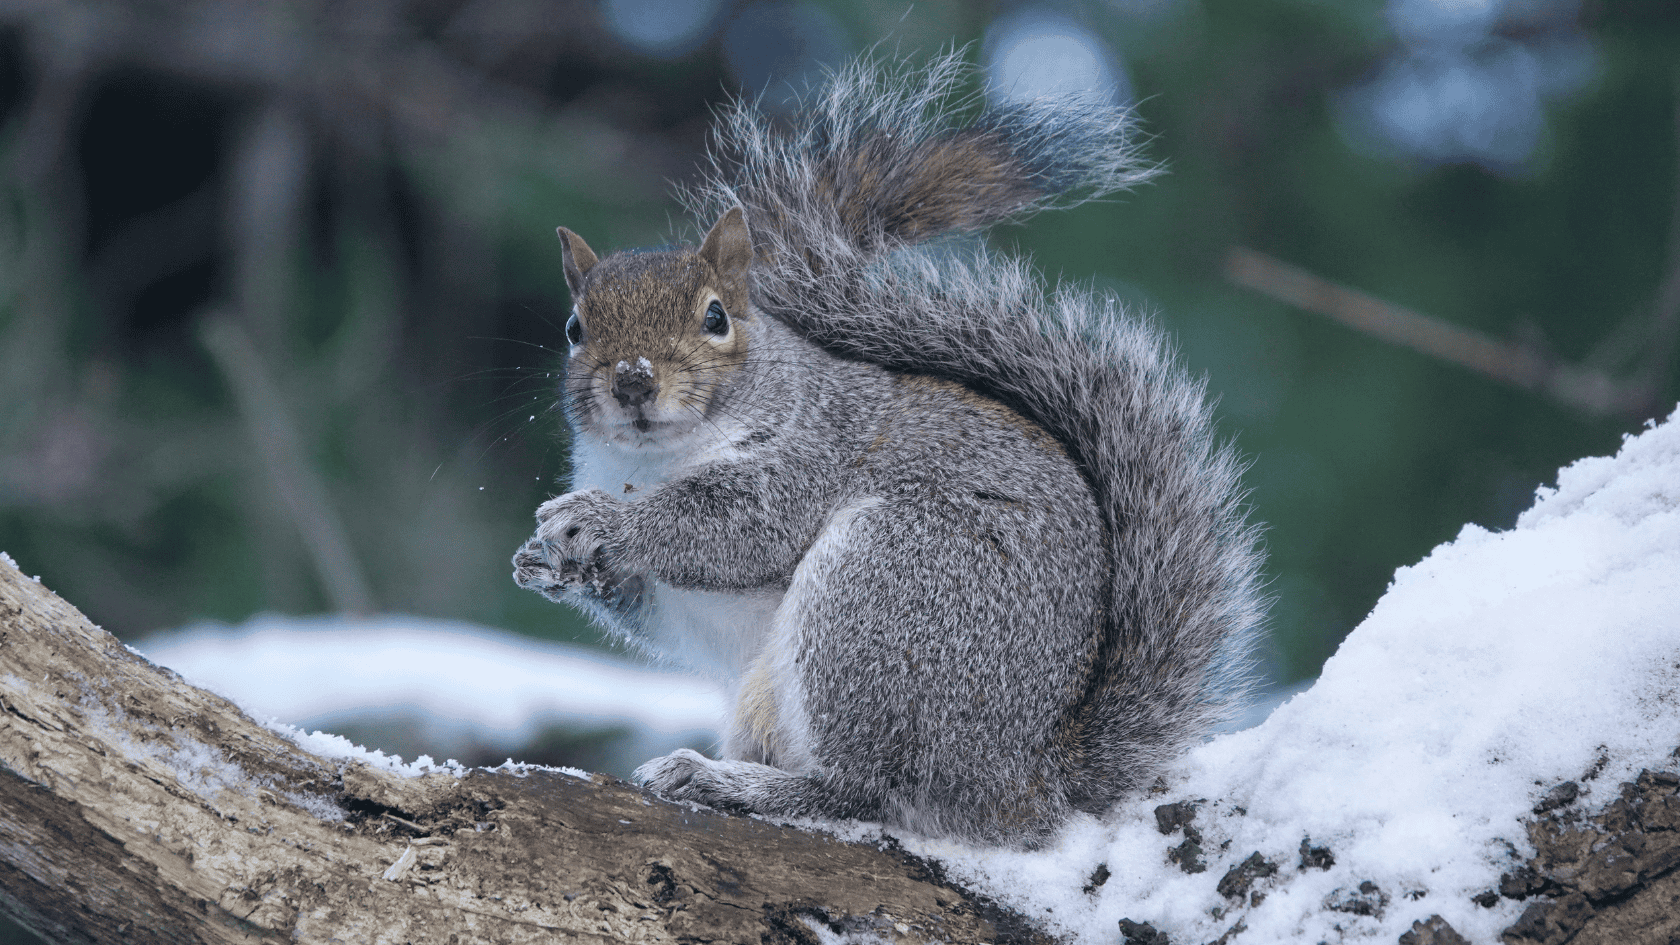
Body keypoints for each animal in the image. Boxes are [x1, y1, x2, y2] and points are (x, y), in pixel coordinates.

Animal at [512, 54, 1265, 846]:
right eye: (574, 328)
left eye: (716, 317)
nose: (633, 381)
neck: (649, 463)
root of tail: (1024, 780)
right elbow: (667, 612)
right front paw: (547, 563)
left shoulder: (812, 451)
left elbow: (736, 527)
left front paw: (601, 520)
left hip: (885, 591)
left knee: (866, 791)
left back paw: (733, 783)